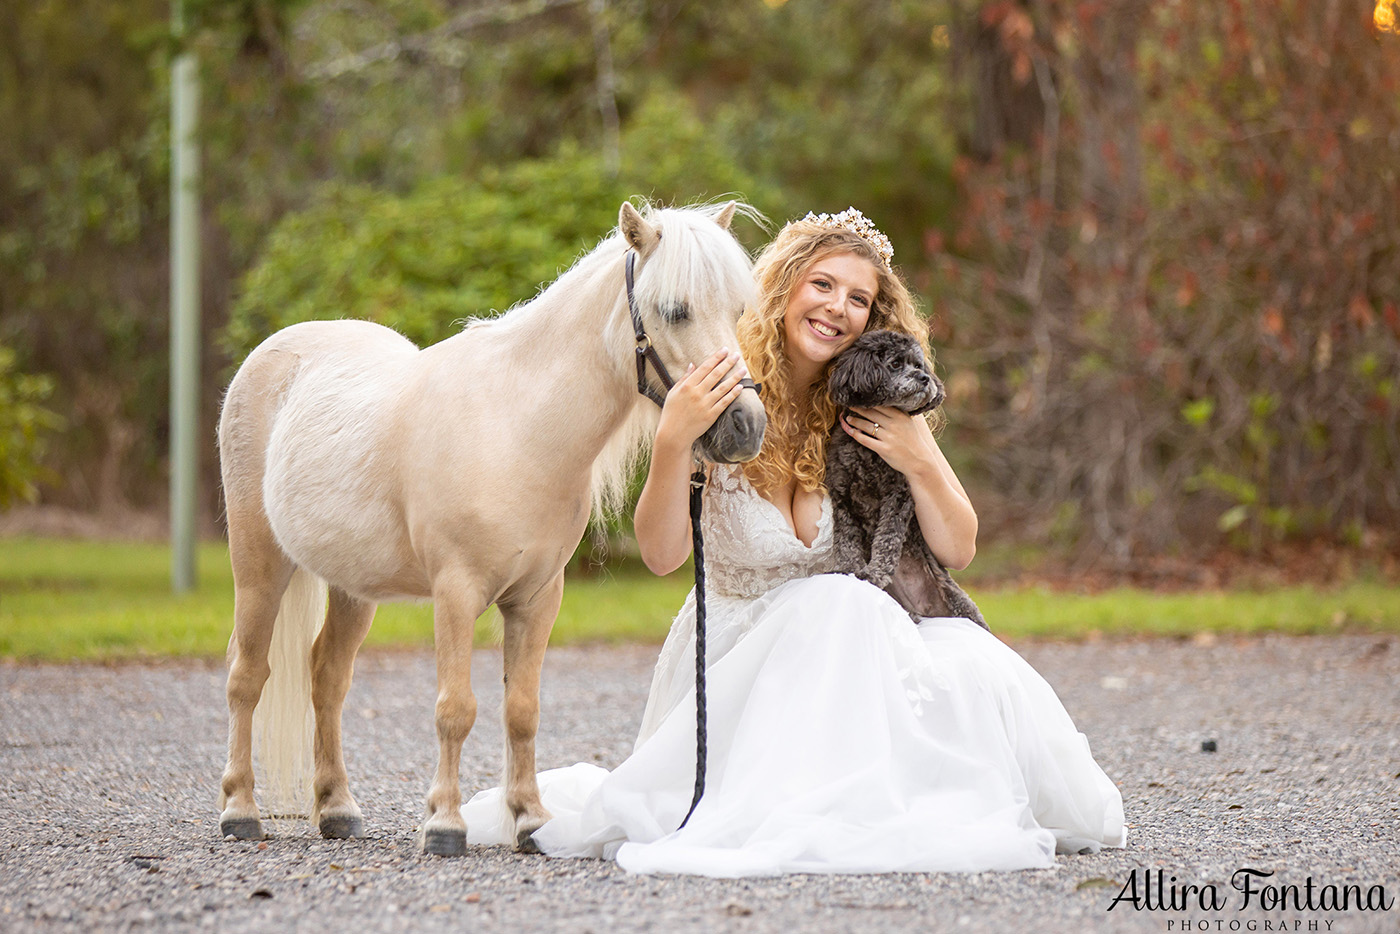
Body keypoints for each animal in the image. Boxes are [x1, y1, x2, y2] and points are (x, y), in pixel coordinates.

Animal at [215, 203, 767, 856]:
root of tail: (274, 351)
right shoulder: (456, 593)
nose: (746, 426)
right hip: (259, 566)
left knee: (327, 677)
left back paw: (338, 810)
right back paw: (240, 811)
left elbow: (521, 710)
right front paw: (445, 825)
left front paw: (530, 820)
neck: (517, 428)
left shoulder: (537, 598)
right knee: (247, 676)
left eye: (737, 311)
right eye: (675, 310)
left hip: (353, 587)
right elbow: (456, 708)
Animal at [823, 329, 991, 627]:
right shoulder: (842, 496)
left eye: (918, 364)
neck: (869, 452)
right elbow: (846, 539)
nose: (924, 378)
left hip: (962, 604)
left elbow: (887, 541)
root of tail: (925, 609)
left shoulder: (898, 495)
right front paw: (847, 568)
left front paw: (874, 573)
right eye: (894, 364)